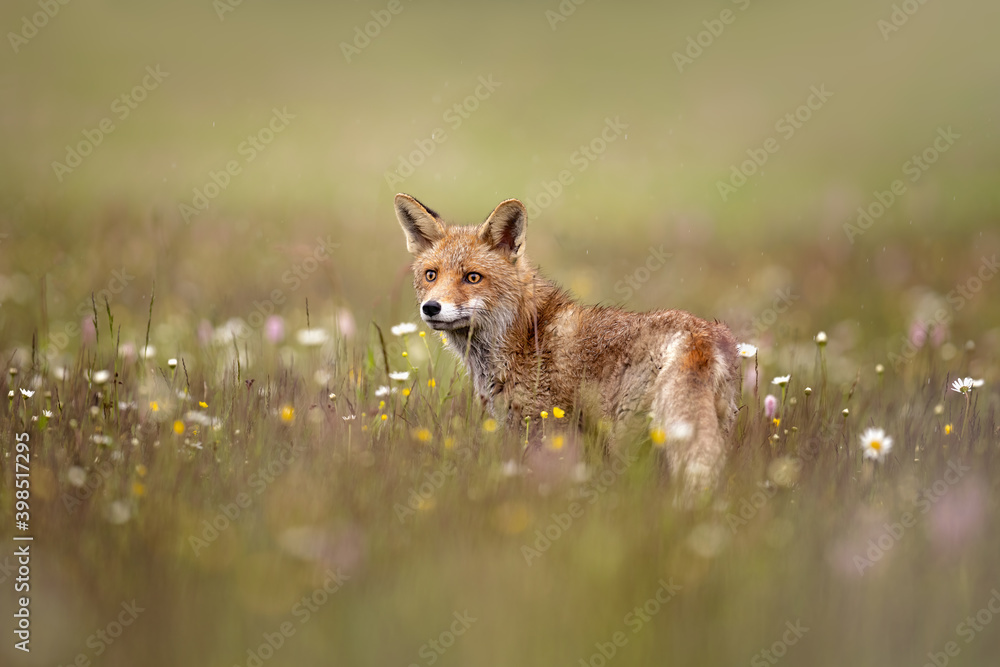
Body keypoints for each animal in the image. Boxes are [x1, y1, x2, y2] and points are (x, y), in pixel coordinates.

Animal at [394, 193, 740, 498]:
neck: (523, 335)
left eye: (472, 277)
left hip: (626, 437)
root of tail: (697, 335)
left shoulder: (544, 429)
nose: (431, 308)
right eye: (431, 275)